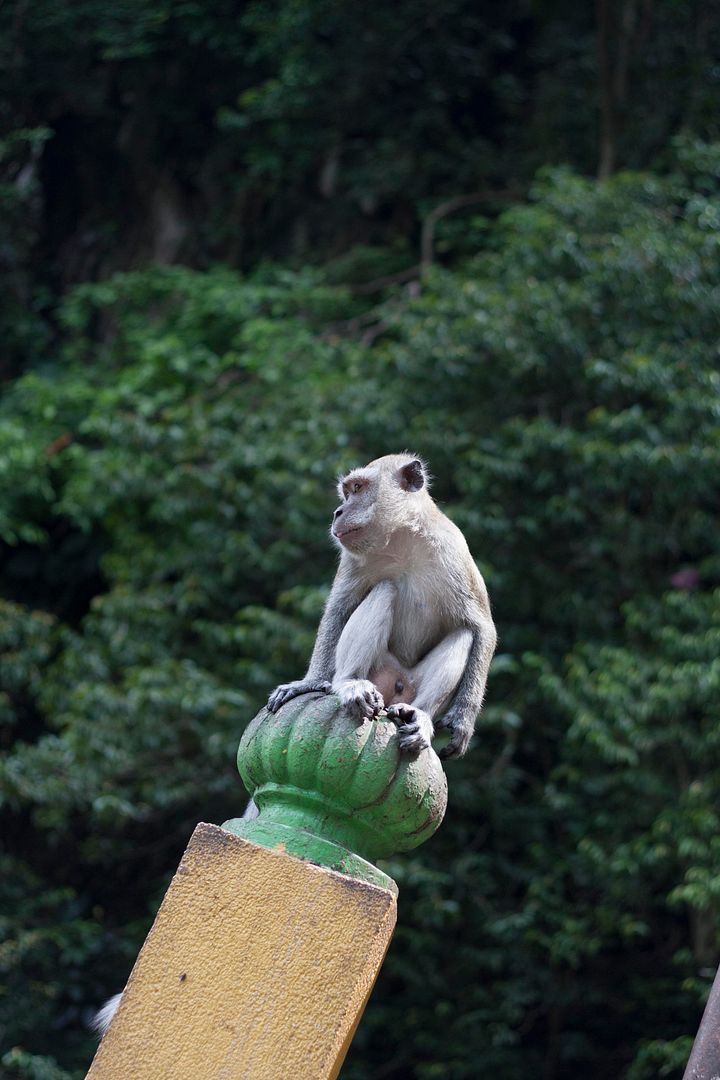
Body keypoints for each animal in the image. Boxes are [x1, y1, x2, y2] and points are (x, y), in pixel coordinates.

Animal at [267, 453, 498, 760]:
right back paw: (350, 684)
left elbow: (481, 627)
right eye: (347, 491)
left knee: (464, 634)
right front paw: (310, 682)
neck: (402, 537)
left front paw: (463, 720)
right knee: (385, 590)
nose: (338, 512)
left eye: (358, 488)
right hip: (380, 672)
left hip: (410, 684)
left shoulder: (454, 549)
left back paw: (419, 715)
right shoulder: (352, 559)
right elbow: (339, 610)